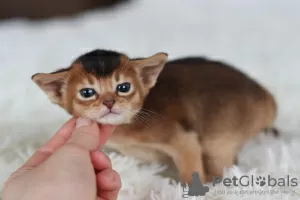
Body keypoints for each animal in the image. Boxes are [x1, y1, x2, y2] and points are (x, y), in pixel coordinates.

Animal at [31, 49, 278, 184]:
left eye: (123, 87)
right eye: (87, 92)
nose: (109, 103)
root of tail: (266, 97)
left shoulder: (185, 139)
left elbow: (191, 172)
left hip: (217, 140)